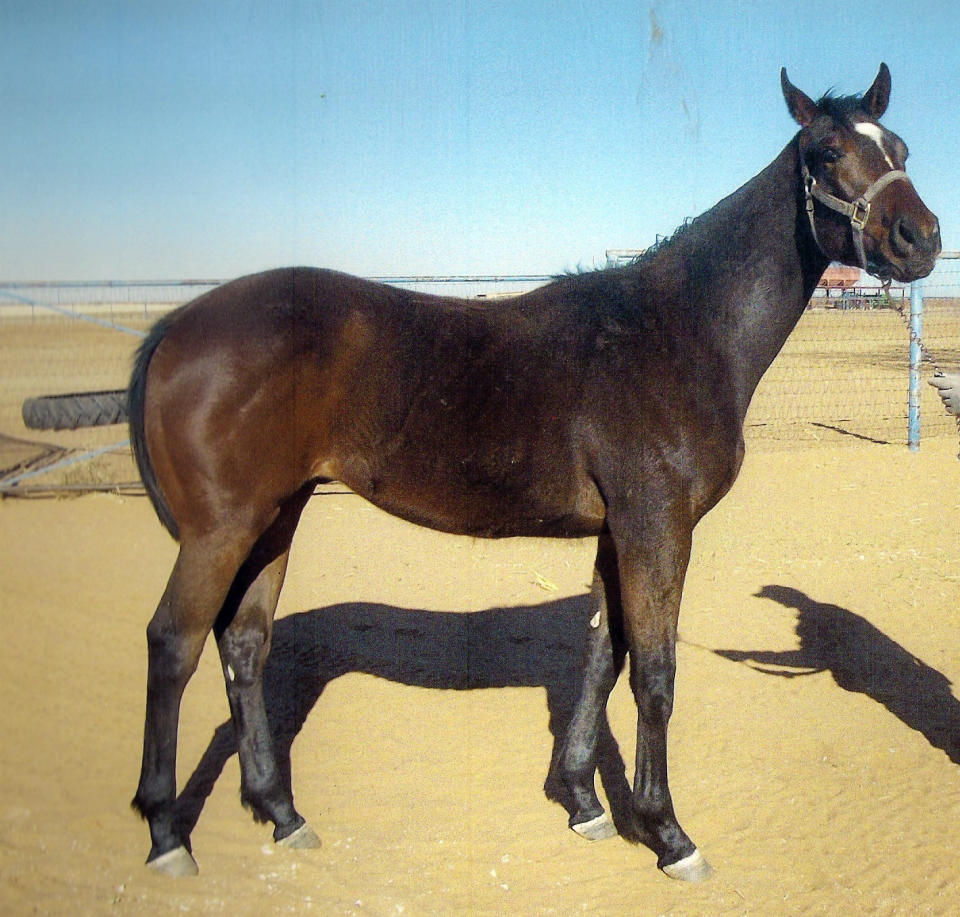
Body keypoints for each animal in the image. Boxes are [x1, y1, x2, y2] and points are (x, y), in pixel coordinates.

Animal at [127, 64, 936, 880]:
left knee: (244, 645)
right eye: (827, 153)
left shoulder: (619, 532)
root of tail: (175, 327)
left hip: (276, 515)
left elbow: (602, 655)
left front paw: (584, 802)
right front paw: (668, 833)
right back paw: (165, 833)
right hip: (220, 530)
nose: (921, 238)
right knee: (173, 644)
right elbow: (654, 674)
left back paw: (282, 812)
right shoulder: (657, 528)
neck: (679, 330)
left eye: (899, 147)